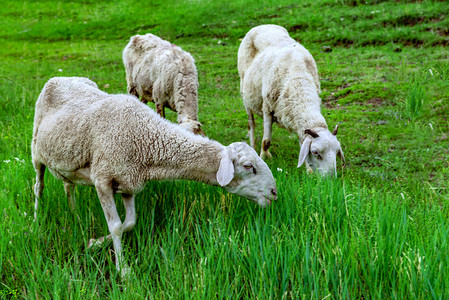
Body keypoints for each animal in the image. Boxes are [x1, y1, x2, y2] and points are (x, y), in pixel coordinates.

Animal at [31, 76, 276, 278]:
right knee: (38, 186)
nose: (274, 193)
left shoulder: (128, 183)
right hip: (36, 152)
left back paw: (73, 212)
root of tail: (61, 77)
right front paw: (124, 270)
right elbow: (116, 226)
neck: (146, 139)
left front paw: (95, 243)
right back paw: (35, 219)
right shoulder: (103, 179)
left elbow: (129, 223)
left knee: (68, 185)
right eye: (248, 166)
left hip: (66, 161)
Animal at [236, 24, 344, 177]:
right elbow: (266, 141)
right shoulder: (268, 108)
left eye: (336, 152)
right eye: (315, 152)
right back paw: (252, 145)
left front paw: (308, 171)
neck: (298, 77)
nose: (330, 179)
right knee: (251, 123)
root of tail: (263, 25)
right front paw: (263, 158)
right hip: (245, 93)